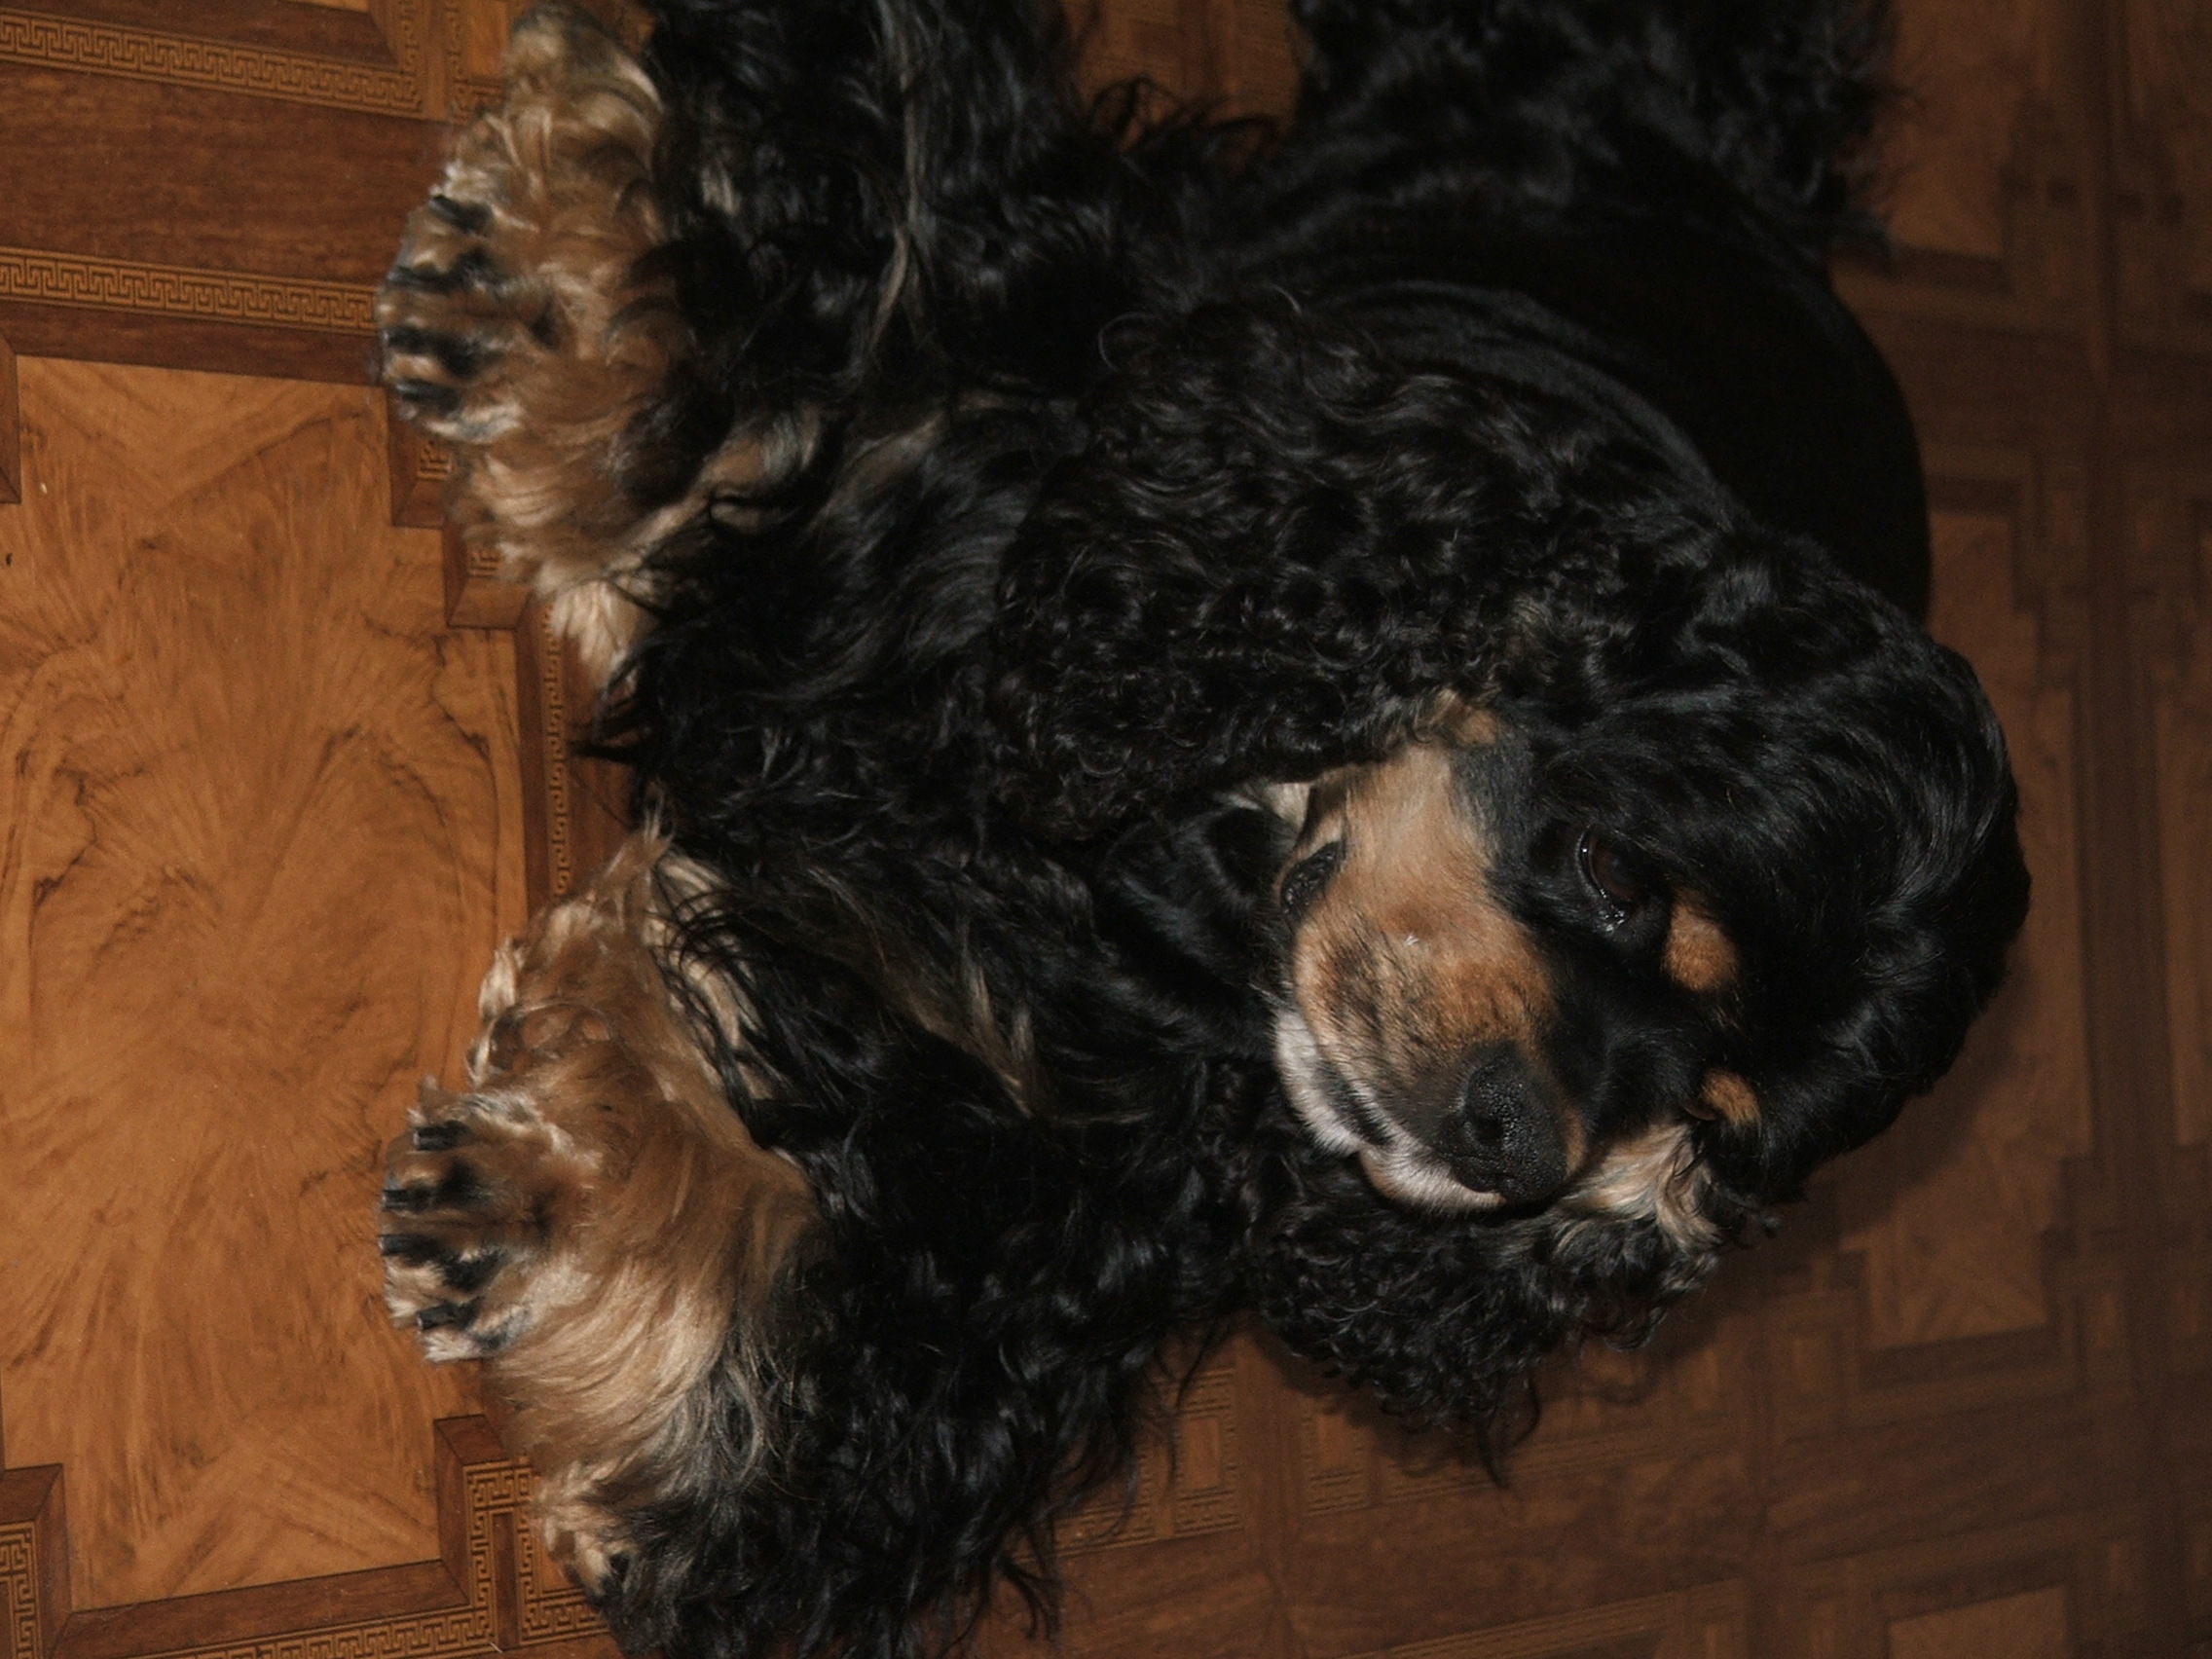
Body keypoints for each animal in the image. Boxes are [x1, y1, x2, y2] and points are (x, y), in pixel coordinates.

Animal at [372, 2, 2031, 1655]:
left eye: (1708, 1125)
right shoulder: (1044, 343)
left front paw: (537, 1209)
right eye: (1616, 869)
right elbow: (846, 219)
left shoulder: (1078, 1175)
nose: (1511, 1144)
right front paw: (541, 290)